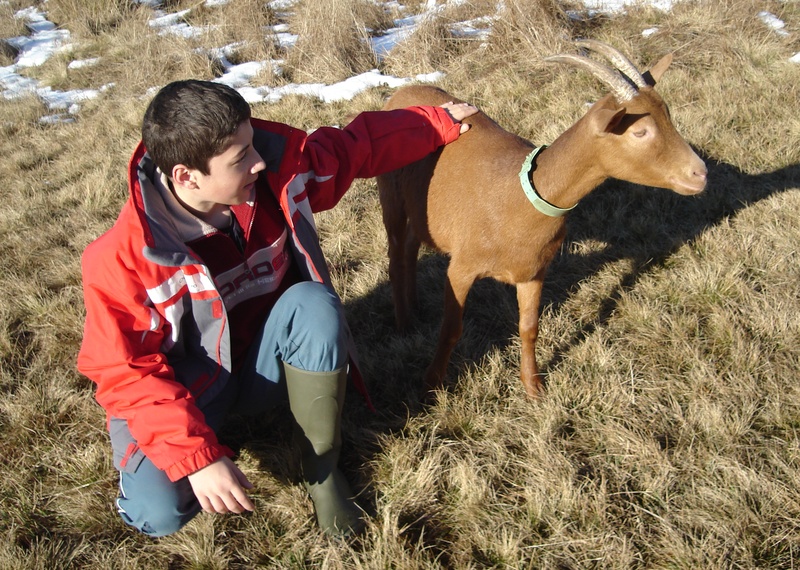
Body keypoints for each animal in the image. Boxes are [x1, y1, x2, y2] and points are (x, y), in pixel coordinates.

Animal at [376, 40, 708, 398]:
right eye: (640, 131)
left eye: (668, 114)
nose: (700, 173)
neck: (520, 199)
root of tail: (402, 92)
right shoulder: (461, 268)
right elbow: (452, 329)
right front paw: (431, 385)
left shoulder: (533, 271)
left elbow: (529, 327)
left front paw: (533, 386)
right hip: (390, 193)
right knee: (396, 252)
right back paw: (403, 322)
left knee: (412, 244)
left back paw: (414, 309)